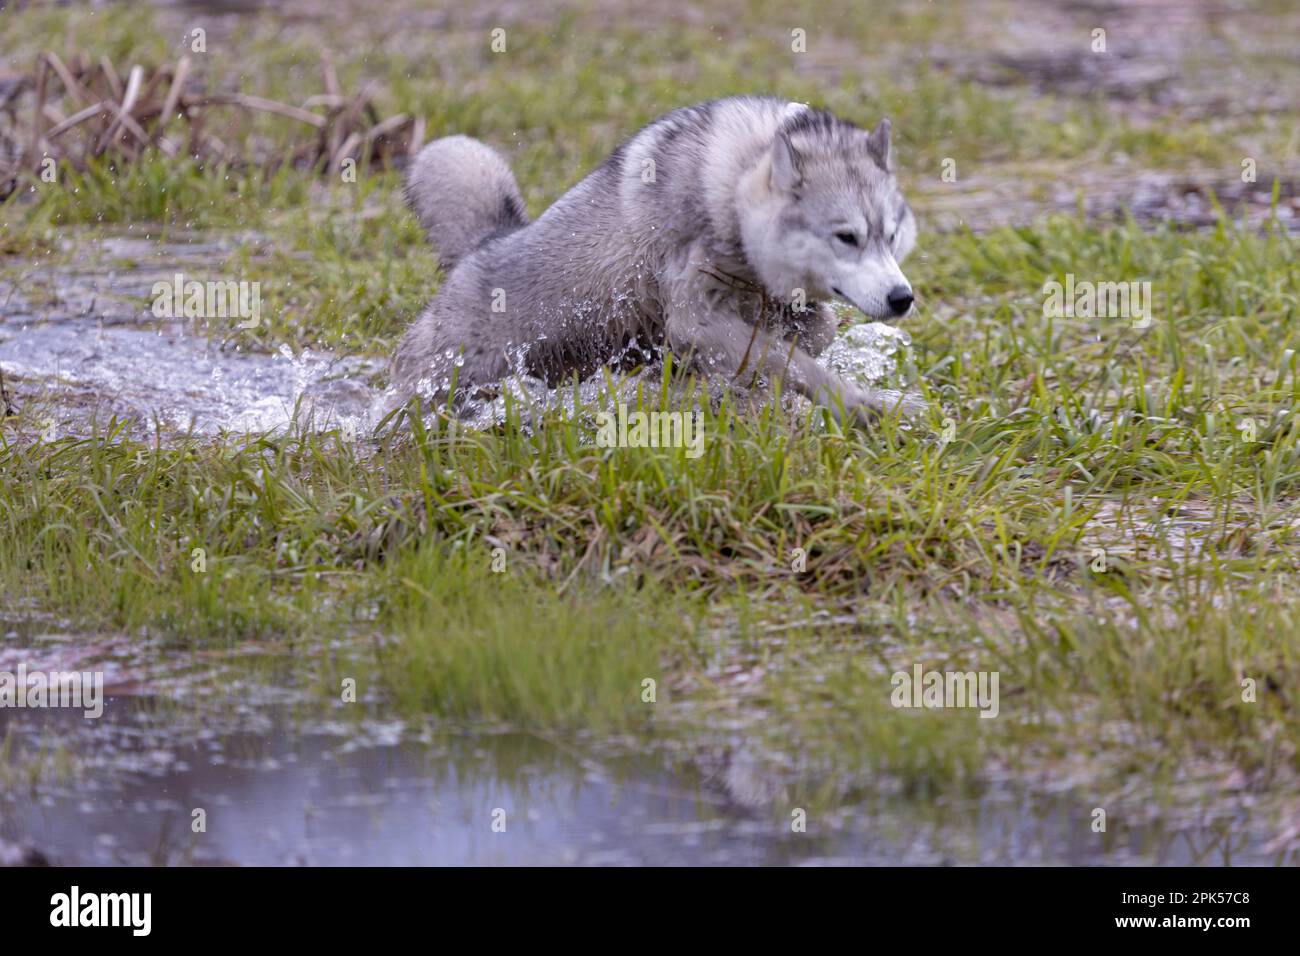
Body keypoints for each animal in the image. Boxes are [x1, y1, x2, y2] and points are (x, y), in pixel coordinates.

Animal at [390, 96, 919, 425]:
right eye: (847, 237)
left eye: (890, 236)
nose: (903, 298)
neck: (731, 185)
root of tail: (482, 246)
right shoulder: (693, 318)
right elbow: (784, 359)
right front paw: (857, 403)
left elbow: (811, 336)